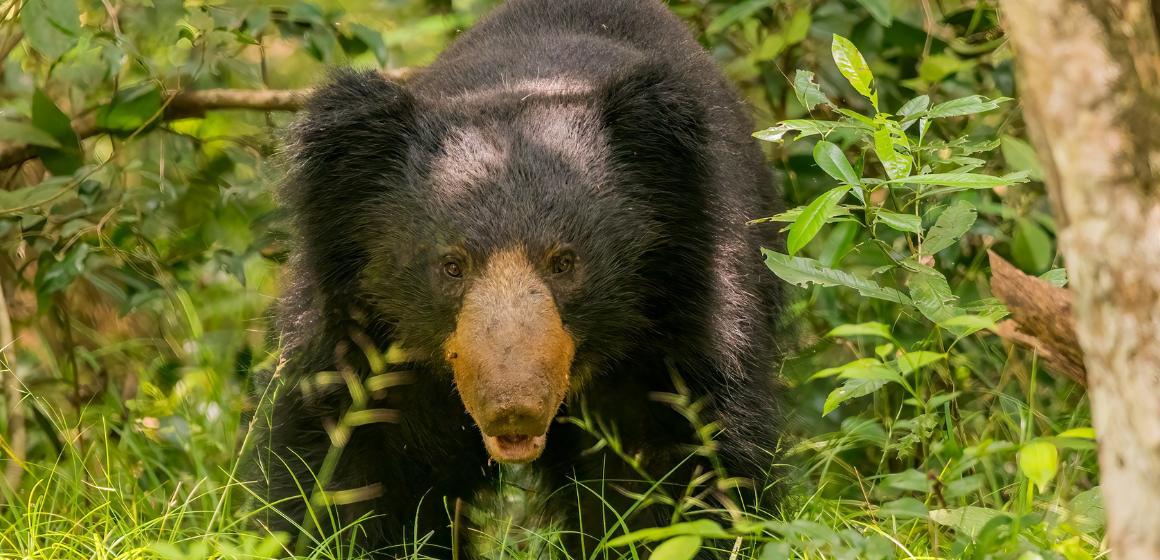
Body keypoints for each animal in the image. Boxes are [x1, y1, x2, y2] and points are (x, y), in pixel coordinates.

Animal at [249, 0, 791, 556]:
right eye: (451, 265)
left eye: (564, 263)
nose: (513, 409)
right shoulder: (363, 326)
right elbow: (348, 461)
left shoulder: (676, 323)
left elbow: (669, 471)